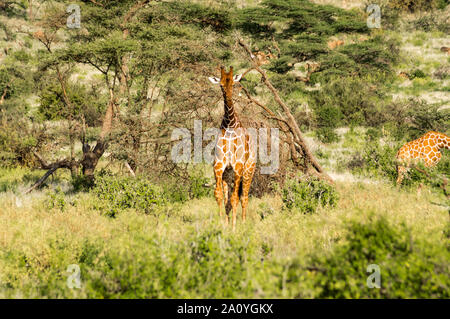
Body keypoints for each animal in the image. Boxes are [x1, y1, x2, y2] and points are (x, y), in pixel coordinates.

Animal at [208, 66, 256, 231]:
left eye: (233, 85)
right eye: (221, 85)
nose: (228, 100)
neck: (229, 124)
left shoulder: (238, 166)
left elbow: (235, 198)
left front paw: (234, 227)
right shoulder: (219, 166)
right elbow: (219, 195)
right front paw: (223, 224)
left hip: (248, 171)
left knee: (244, 197)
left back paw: (243, 222)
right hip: (227, 176)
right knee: (228, 199)